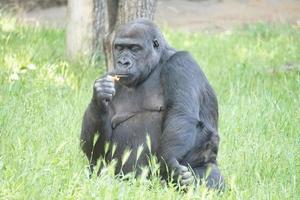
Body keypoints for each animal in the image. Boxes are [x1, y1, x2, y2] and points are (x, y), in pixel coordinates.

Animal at [81, 18, 224, 189]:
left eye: (135, 48)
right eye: (119, 47)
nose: (123, 62)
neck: (155, 64)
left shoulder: (181, 63)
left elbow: (180, 114)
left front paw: (170, 165)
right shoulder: (112, 74)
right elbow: (97, 149)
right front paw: (99, 95)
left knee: (212, 174)